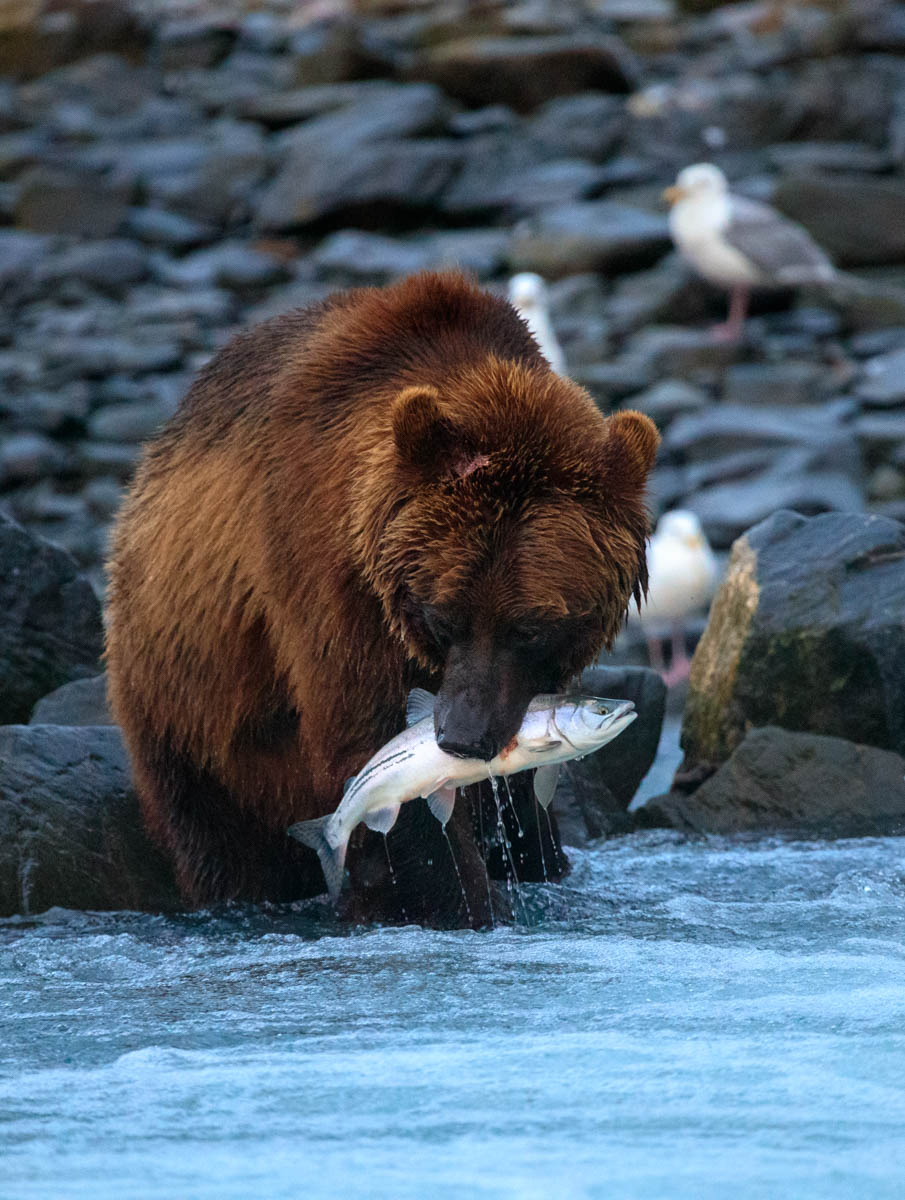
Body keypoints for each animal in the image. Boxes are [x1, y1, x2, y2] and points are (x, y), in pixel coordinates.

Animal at [107, 274, 657, 926]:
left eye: (529, 628)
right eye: (445, 618)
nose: (460, 738)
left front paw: (530, 858)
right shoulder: (331, 570)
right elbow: (367, 729)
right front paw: (463, 900)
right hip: (192, 705)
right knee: (219, 837)